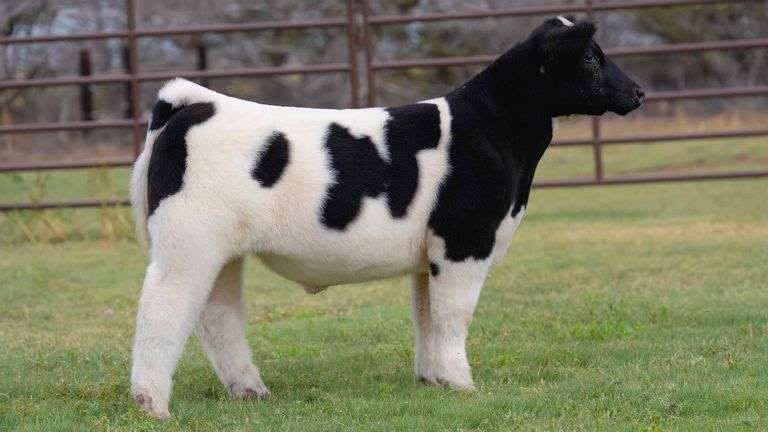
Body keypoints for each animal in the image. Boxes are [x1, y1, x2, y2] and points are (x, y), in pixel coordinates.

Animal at [129, 16, 643, 419]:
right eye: (591, 58)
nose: (638, 92)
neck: (493, 131)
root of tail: (195, 103)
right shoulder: (464, 242)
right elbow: (454, 315)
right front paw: (462, 383)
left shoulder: (429, 254)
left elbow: (427, 315)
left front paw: (434, 380)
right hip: (187, 243)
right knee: (163, 308)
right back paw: (152, 405)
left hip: (223, 252)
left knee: (218, 315)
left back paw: (251, 391)